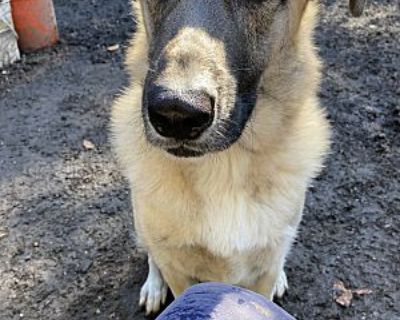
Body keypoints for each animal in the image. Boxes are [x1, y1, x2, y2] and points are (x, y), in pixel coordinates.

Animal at [111, 0, 364, 316]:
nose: (176, 114)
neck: (224, 166)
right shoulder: (178, 270)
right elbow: (165, 262)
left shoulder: (263, 271)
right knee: (151, 253)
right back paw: (154, 286)